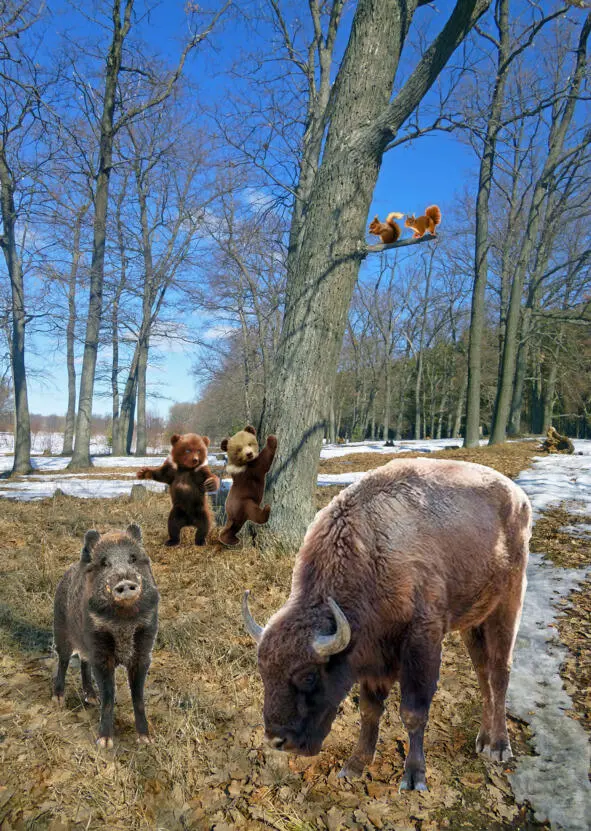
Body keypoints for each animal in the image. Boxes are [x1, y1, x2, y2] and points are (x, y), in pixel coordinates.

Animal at [53, 528, 158, 748]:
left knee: (83, 662)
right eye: (104, 563)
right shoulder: (101, 652)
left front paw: (146, 740)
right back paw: (58, 700)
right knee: (63, 661)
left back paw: (92, 699)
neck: (124, 622)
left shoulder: (143, 652)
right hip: (60, 630)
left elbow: (138, 697)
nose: (125, 582)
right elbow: (109, 695)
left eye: (133, 558)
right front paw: (104, 743)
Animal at [242, 458, 532, 788]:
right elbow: (369, 711)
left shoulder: (421, 642)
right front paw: (355, 765)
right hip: (473, 623)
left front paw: (414, 777)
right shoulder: (373, 656)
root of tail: (518, 496)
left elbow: (413, 711)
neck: (369, 551)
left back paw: (499, 746)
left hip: (506, 607)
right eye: (263, 673)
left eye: (309, 676)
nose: (276, 740)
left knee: (499, 673)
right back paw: (483, 740)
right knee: (483, 674)